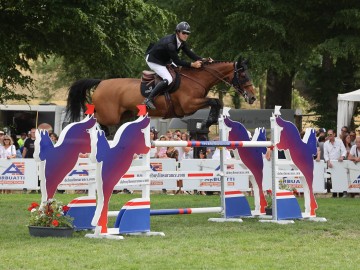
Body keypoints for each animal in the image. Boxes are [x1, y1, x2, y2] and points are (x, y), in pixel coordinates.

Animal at [65, 57, 256, 129]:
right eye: (243, 75)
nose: (253, 97)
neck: (197, 78)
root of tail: (101, 82)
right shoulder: (189, 105)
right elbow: (215, 101)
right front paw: (207, 122)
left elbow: (217, 102)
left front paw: (210, 122)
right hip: (109, 115)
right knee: (94, 118)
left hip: (123, 116)